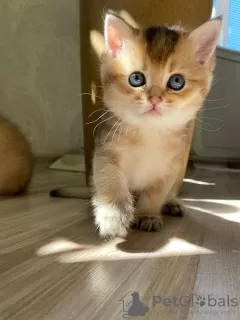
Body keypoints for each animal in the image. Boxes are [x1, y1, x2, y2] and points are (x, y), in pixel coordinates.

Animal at [50, 12, 221, 238]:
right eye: (136, 78)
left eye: (177, 82)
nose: (155, 99)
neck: (149, 134)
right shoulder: (105, 154)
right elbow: (111, 182)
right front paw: (113, 216)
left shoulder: (169, 170)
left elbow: (154, 195)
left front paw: (147, 216)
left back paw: (172, 203)